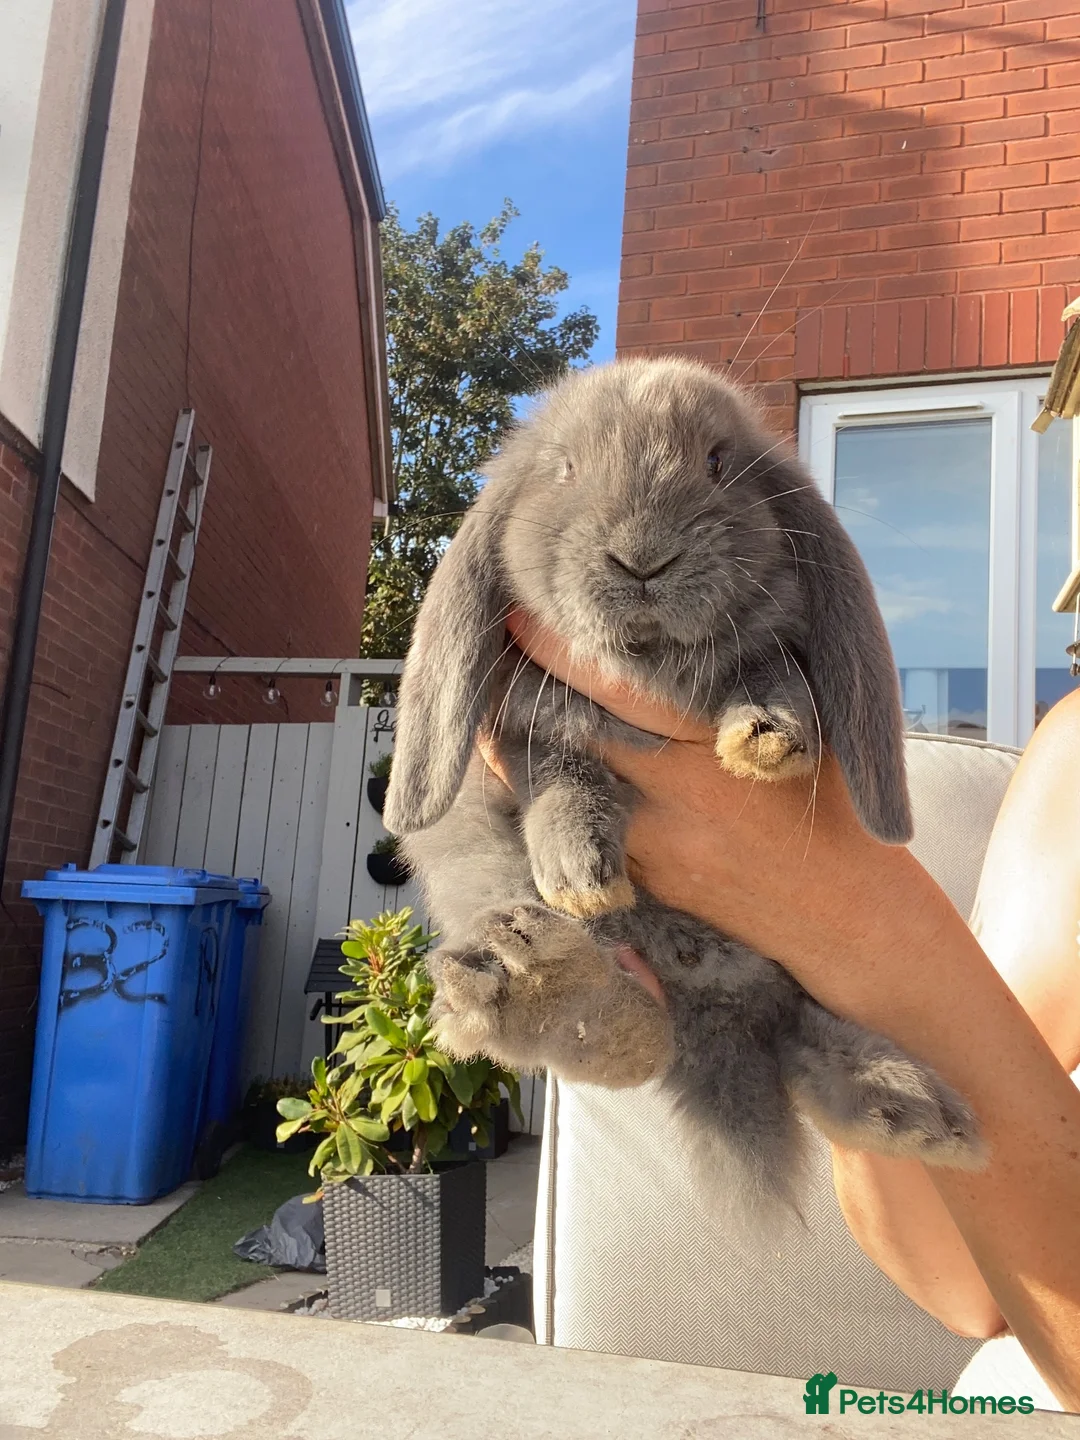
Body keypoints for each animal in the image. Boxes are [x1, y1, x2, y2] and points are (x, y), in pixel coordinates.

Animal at [383, 355, 984, 1217]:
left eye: (716, 462)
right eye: (565, 469)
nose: (643, 558)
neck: (651, 665)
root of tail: (715, 1004)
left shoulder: (776, 649)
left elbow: (775, 679)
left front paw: (767, 741)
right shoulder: (532, 724)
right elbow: (562, 779)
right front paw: (580, 871)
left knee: (791, 1030)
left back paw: (907, 1109)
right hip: (485, 876)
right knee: (632, 1036)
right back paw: (546, 981)